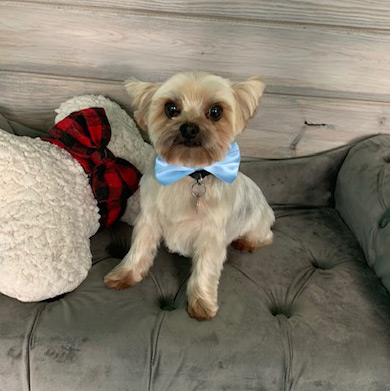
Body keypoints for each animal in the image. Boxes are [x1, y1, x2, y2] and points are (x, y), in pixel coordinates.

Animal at [103, 71, 274, 322]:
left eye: (216, 111)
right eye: (171, 108)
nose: (189, 128)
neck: (188, 173)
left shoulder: (211, 235)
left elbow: (205, 269)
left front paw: (202, 304)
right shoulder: (149, 219)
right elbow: (140, 248)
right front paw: (125, 274)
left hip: (257, 223)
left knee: (265, 236)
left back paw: (246, 242)